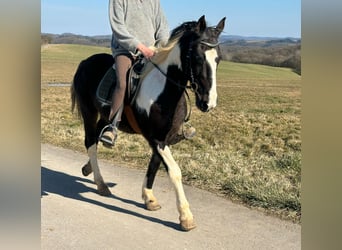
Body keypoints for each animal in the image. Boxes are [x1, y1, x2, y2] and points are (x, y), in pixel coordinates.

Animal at [71, 15, 226, 230]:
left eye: (218, 59)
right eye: (197, 57)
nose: (208, 103)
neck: (164, 91)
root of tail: (85, 62)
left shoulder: (165, 138)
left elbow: (154, 164)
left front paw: (149, 198)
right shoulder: (156, 139)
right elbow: (174, 171)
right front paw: (185, 216)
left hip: (105, 115)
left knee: (100, 134)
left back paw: (89, 168)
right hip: (89, 112)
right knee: (91, 142)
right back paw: (101, 184)